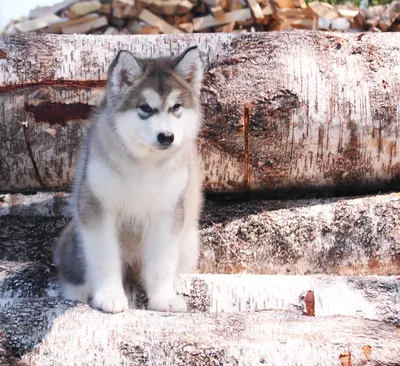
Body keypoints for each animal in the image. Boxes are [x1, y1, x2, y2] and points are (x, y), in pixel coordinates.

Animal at [53, 45, 203, 314]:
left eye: (176, 107)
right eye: (145, 108)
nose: (167, 137)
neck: (144, 164)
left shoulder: (167, 211)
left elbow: (161, 263)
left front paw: (163, 298)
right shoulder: (97, 208)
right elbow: (104, 257)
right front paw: (109, 296)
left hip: (189, 243)